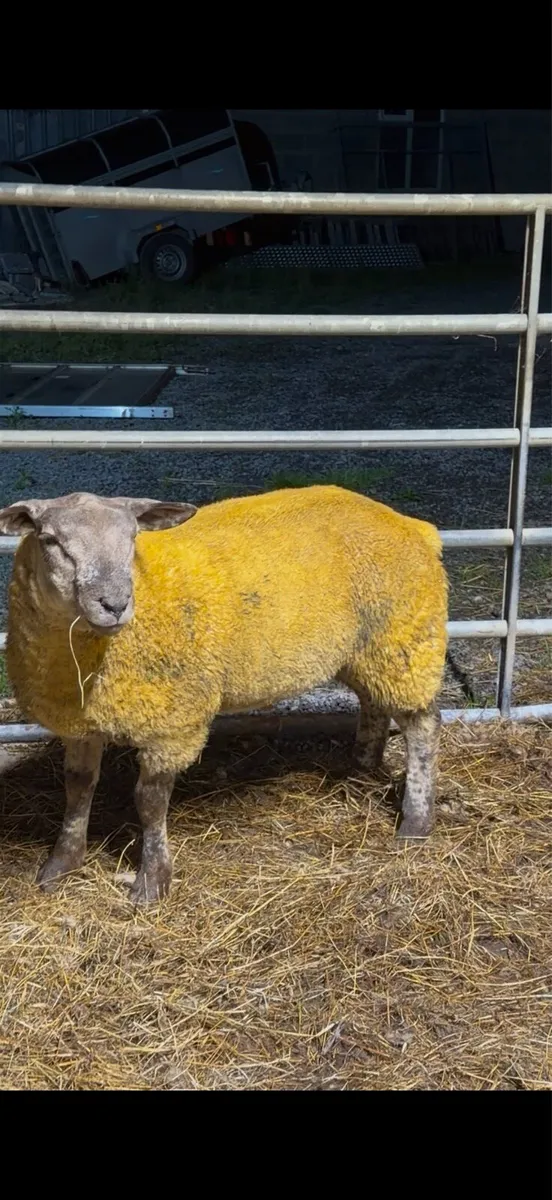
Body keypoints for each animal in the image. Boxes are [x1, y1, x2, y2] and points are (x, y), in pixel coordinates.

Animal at [0, 486, 448, 906]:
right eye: (49, 540)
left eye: (132, 537)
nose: (114, 604)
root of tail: (413, 526)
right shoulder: (80, 722)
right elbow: (77, 788)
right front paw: (61, 864)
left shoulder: (173, 724)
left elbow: (149, 801)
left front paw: (152, 881)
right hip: (365, 649)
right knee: (374, 703)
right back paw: (361, 766)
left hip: (404, 634)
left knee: (423, 727)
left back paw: (415, 822)